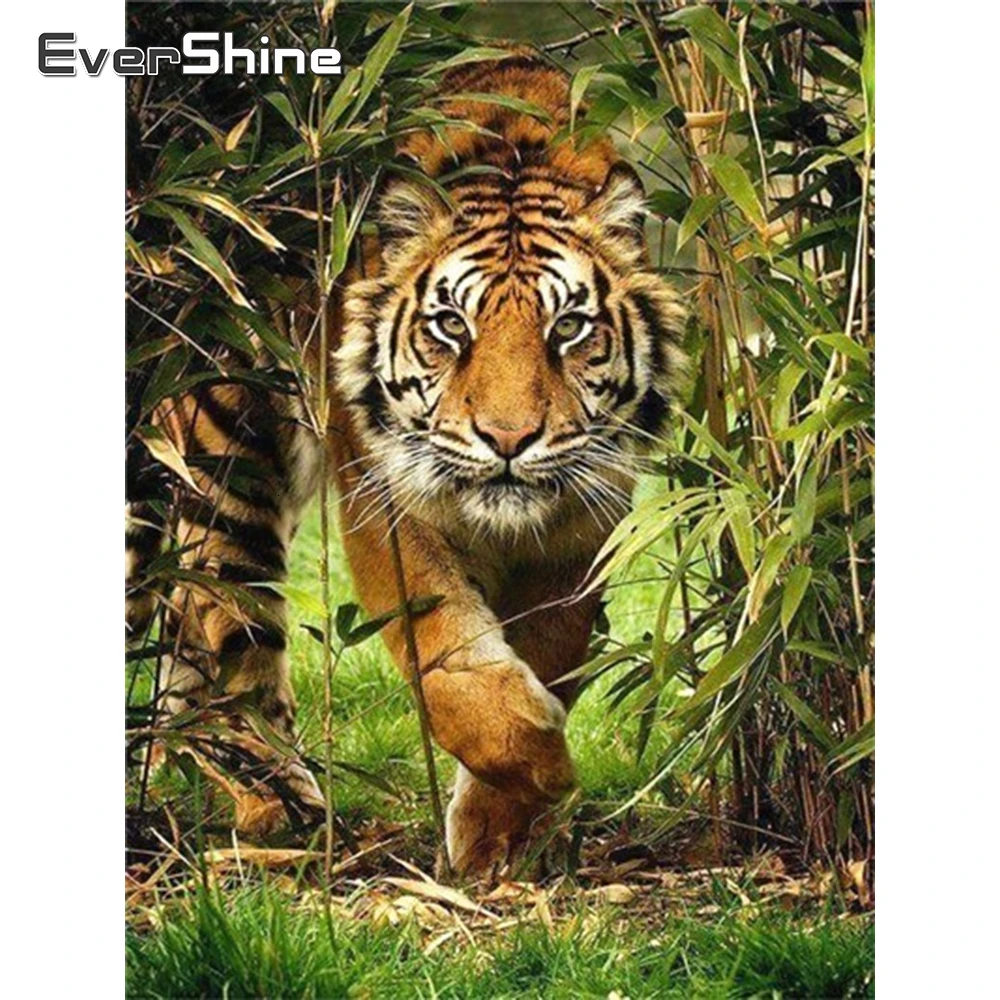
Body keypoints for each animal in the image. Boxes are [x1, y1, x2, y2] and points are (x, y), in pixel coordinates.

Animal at [126, 51, 685, 879]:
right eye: (451, 325)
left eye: (569, 327)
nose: (508, 439)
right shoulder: (386, 499)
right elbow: (447, 657)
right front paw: (542, 765)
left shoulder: (583, 520)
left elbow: (550, 649)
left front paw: (501, 834)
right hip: (227, 449)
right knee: (224, 618)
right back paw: (281, 808)